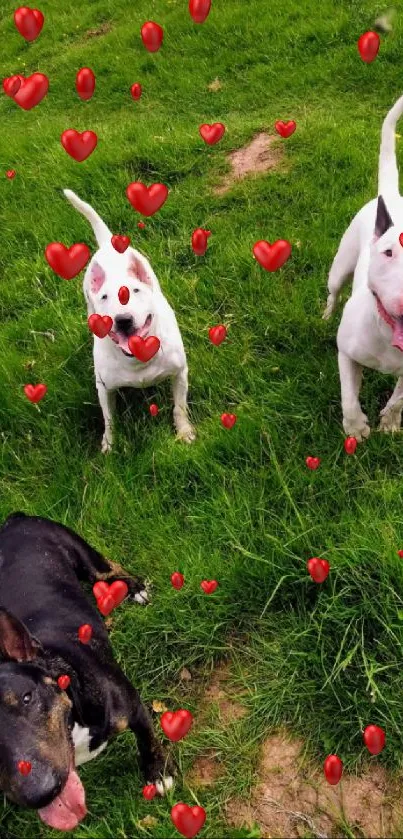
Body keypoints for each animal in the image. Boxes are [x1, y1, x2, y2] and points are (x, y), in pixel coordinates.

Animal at [0, 512, 174, 832]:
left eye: (27, 698)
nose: (41, 794)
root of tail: (13, 519)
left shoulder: (133, 707)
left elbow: (148, 740)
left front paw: (158, 774)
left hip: (84, 557)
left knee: (110, 569)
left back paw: (135, 589)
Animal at [64, 190, 196, 452]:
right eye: (105, 297)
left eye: (135, 291)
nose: (123, 320)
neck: (137, 360)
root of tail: (108, 244)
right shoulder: (104, 388)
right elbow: (109, 418)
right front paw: (109, 445)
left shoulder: (180, 373)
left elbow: (179, 407)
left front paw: (184, 432)